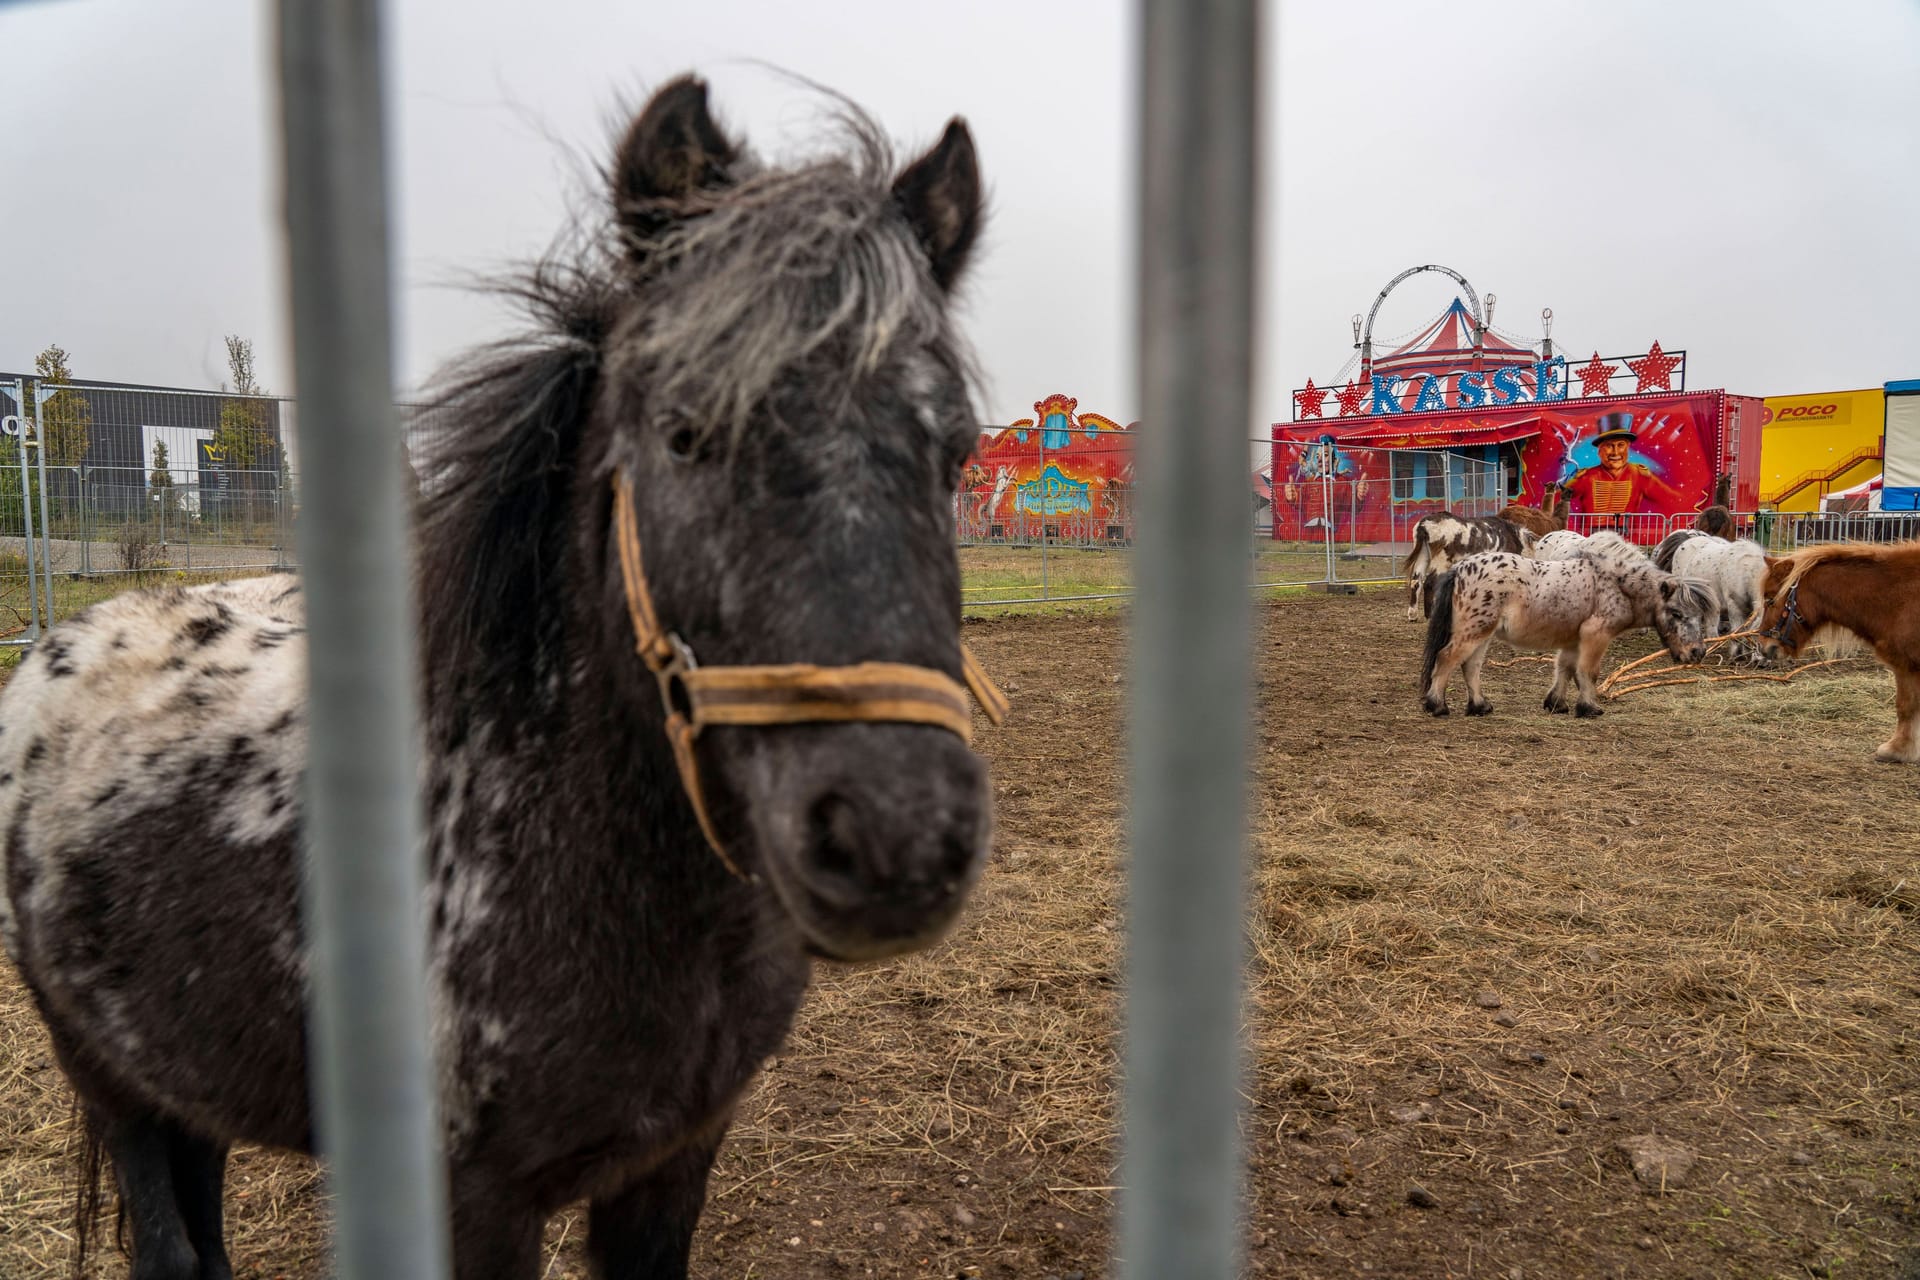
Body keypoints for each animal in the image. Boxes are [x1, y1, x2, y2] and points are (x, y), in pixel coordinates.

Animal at [0, 77, 990, 1280]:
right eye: (684, 432)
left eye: (957, 453)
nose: (900, 837)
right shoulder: (474, 1202)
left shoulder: (674, 1163)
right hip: (109, 1078)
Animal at [1405, 514, 1536, 625]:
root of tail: (1424, 524)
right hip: (1441, 562)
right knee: (1429, 583)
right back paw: (1430, 615)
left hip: (1423, 556)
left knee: (1416, 582)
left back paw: (1413, 614)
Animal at [1428, 548, 1712, 721]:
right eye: (1676, 613)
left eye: (1699, 615)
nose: (1697, 652)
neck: (1616, 586)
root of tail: (1460, 568)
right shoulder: (1596, 636)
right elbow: (1587, 672)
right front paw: (1589, 708)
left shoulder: (1574, 640)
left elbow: (1564, 668)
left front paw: (1556, 704)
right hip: (1474, 631)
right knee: (1447, 658)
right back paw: (1436, 705)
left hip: (1483, 633)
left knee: (1471, 666)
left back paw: (1479, 706)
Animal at [1758, 541, 1920, 759]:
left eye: (1769, 599)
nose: (1763, 646)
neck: (1897, 596)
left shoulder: (1906, 666)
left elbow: (1905, 705)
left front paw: (1898, 750)